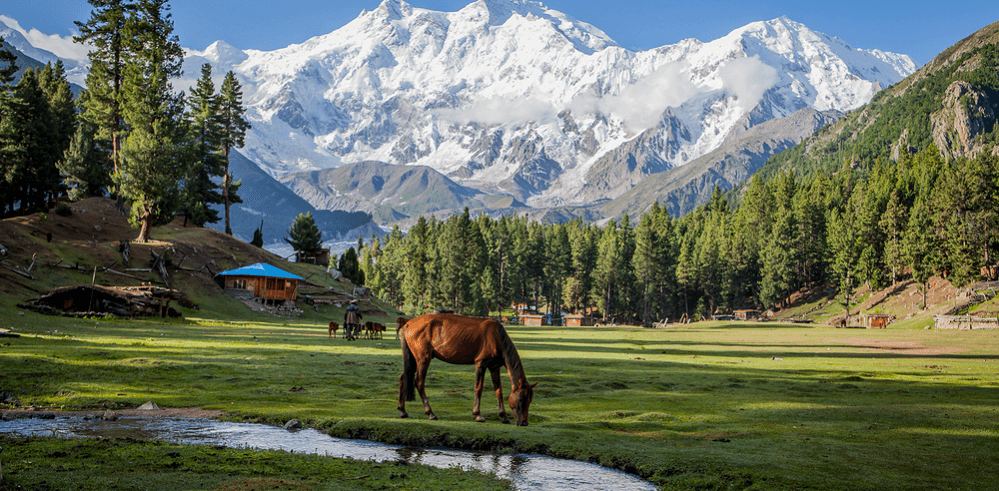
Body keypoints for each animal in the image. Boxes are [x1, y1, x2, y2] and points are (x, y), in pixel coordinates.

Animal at [398, 316, 540, 426]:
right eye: (521, 399)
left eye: (530, 400)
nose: (524, 422)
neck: (497, 337)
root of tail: (408, 323)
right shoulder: (481, 363)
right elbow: (479, 388)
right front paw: (478, 415)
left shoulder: (494, 367)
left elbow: (498, 391)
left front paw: (504, 416)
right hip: (423, 359)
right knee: (419, 382)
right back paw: (431, 413)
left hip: (413, 359)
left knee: (403, 377)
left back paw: (403, 410)